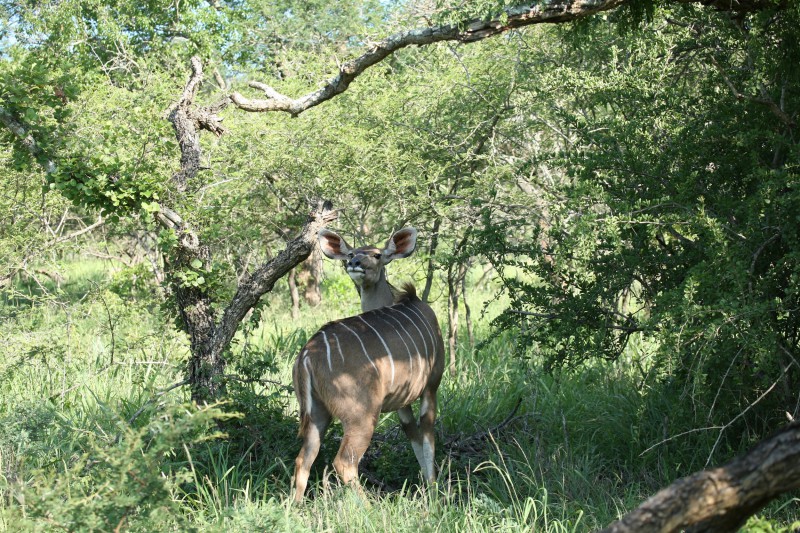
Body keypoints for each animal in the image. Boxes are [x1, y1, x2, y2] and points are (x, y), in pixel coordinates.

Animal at [292, 228, 446, 498]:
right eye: (351, 253)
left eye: (376, 255)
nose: (354, 263)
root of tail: (306, 356)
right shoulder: (431, 386)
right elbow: (427, 436)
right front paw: (433, 490)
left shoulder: (400, 401)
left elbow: (413, 435)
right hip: (361, 416)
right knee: (345, 463)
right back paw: (368, 505)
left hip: (317, 414)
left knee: (304, 459)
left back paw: (295, 506)